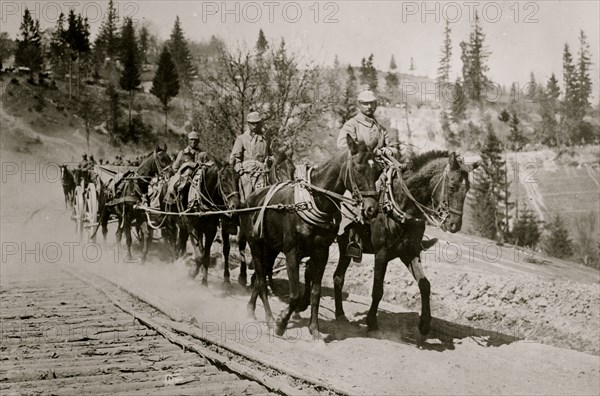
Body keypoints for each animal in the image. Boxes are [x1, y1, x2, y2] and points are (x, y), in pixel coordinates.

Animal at [238, 136, 380, 338]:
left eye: (378, 171)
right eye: (358, 169)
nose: (371, 209)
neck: (313, 202)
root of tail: (251, 198)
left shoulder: (321, 253)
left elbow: (315, 292)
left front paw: (314, 329)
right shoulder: (291, 252)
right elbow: (295, 294)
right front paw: (281, 322)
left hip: (271, 248)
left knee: (261, 277)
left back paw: (251, 309)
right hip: (256, 244)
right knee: (260, 280)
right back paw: (269, 319)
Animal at [332, 151, 478, 334]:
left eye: (468, 189)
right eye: (452, 187)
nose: (454, 225)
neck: (399, 208)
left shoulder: (409, 253)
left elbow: (425, 284)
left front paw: (424, 323)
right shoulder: (381, 254)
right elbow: (377, 290)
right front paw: (372, 321)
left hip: (345, 249)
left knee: (338, 277)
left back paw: (340, 314)